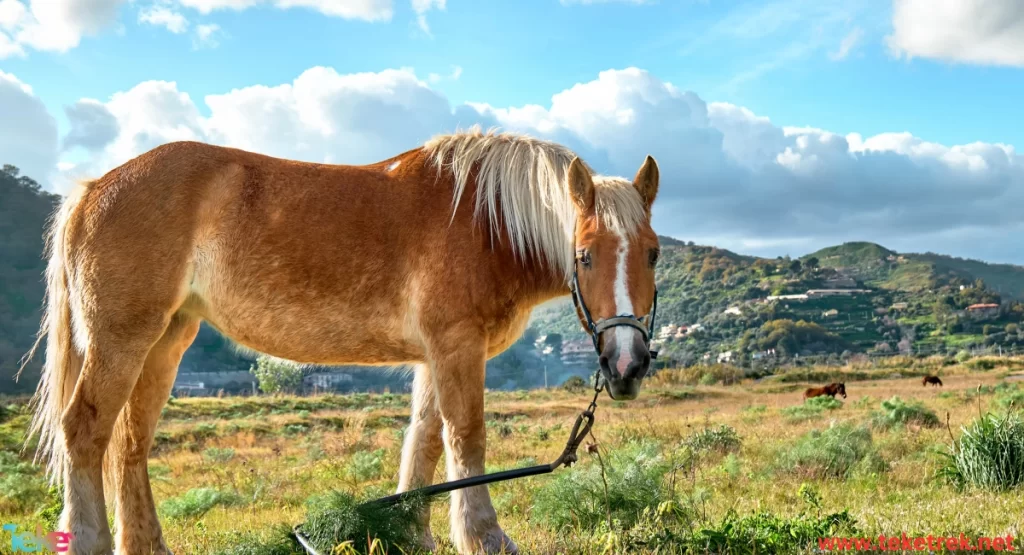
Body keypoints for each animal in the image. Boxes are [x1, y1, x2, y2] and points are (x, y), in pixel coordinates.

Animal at [22, 129, 663, 555]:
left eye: (653, 253)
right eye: (584, 255)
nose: (627, 365)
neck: (484, 222)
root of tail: (92, 189)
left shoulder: (436, 356)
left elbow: (423, 442)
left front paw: (412, 534)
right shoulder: (456, 347)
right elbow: (465, 437)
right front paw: (484, 536)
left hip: (166, 342)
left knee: (129, 444)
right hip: (122, 339)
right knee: (85, 431)